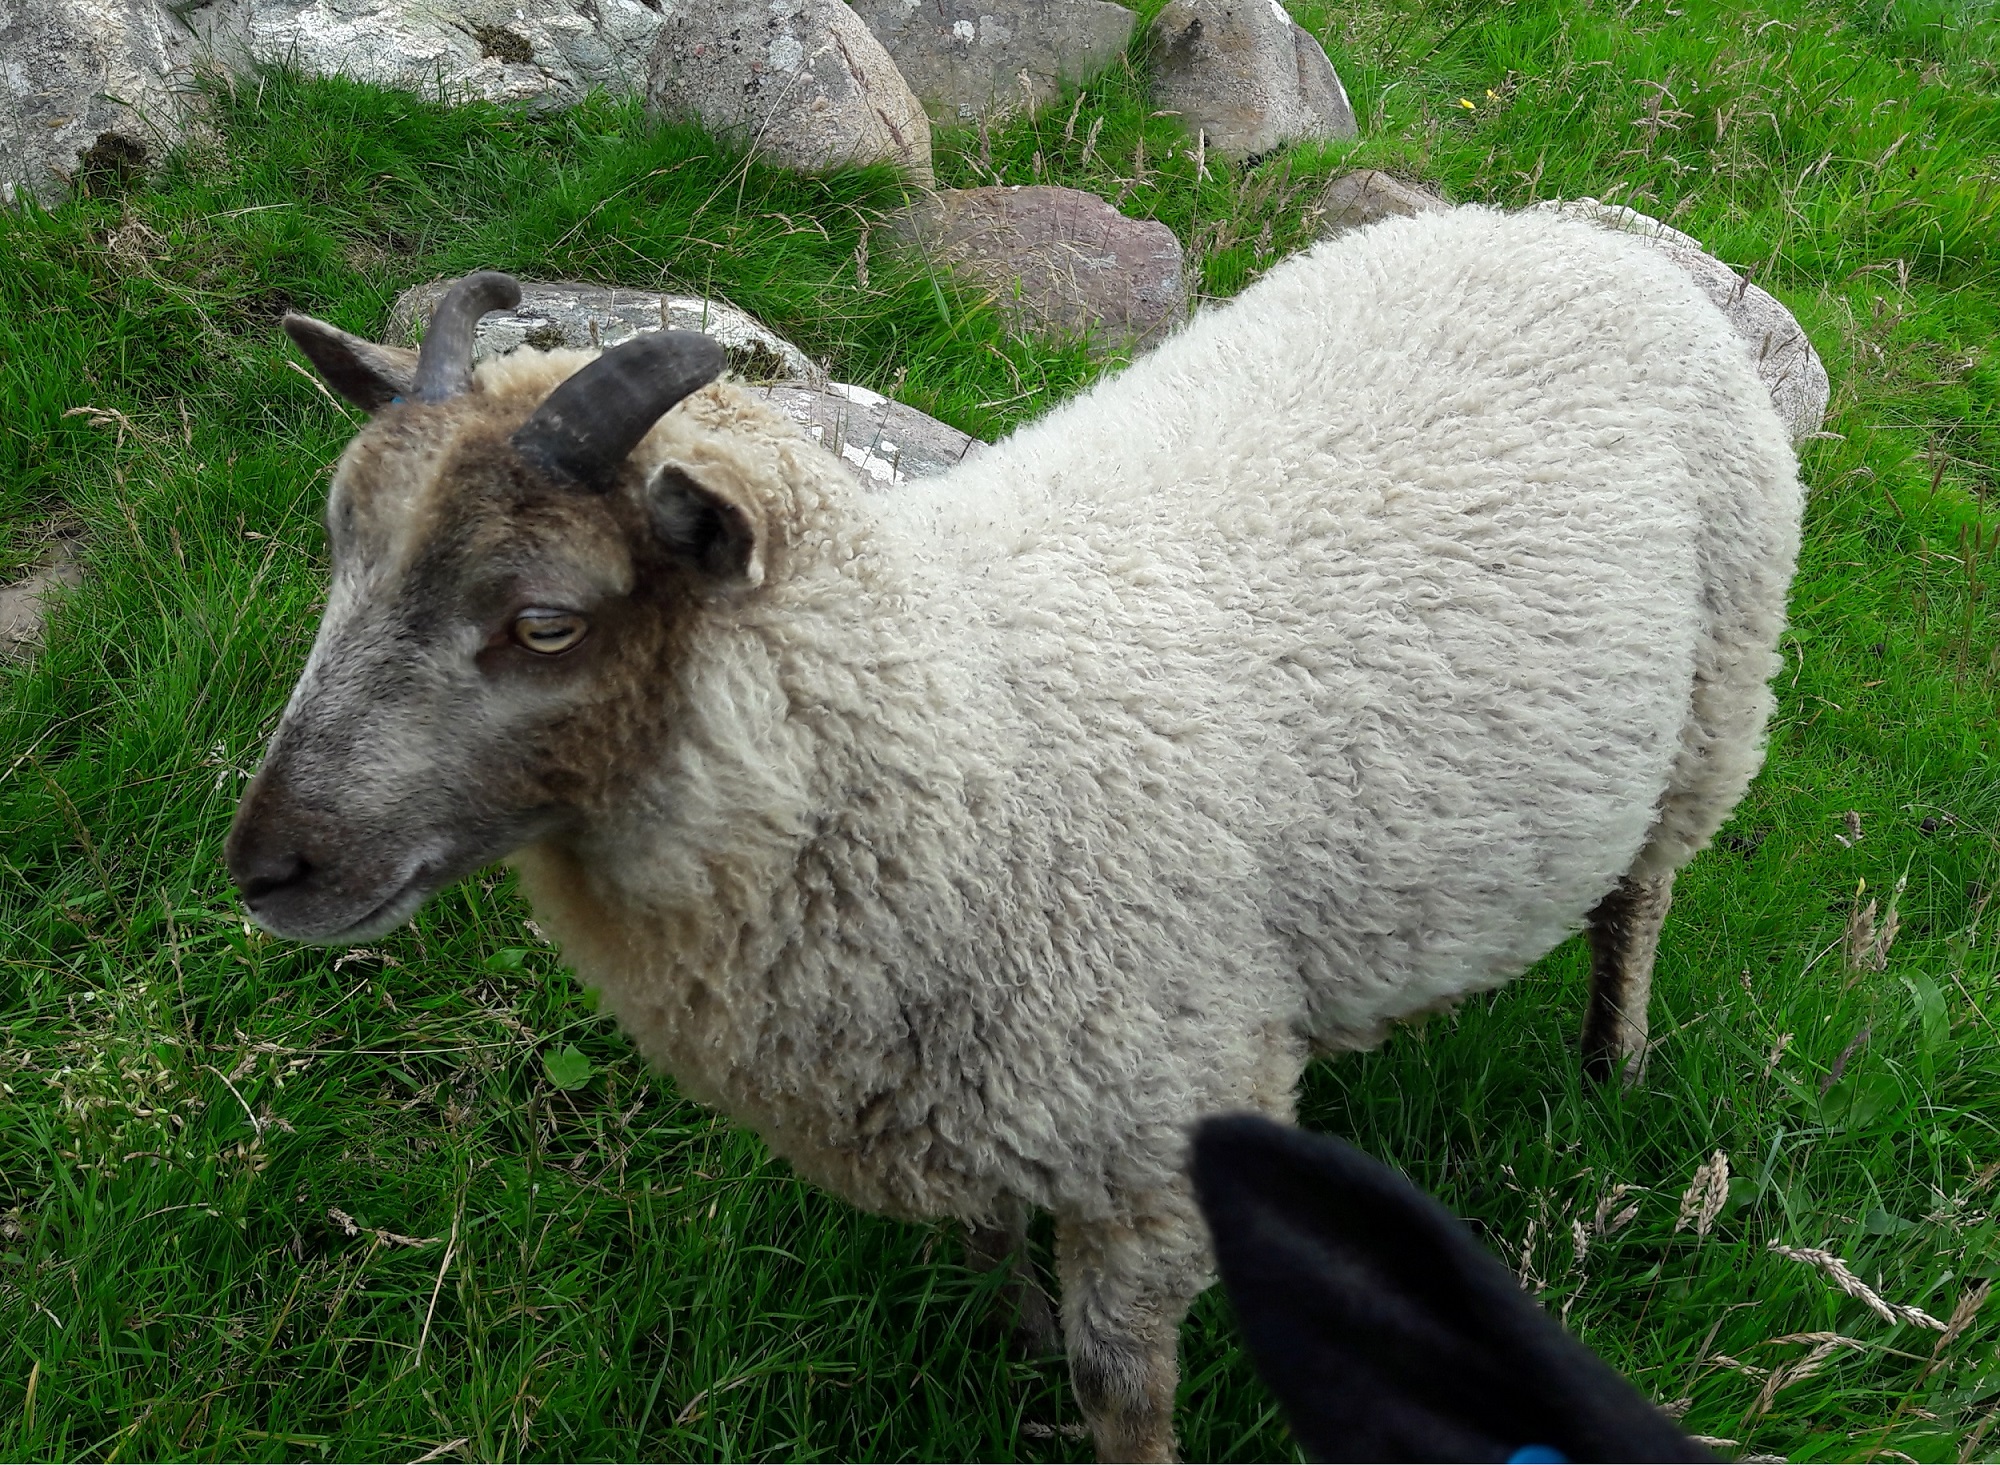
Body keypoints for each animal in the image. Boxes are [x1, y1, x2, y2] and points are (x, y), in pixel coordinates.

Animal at [227, 209, 1808, 1465]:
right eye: (340, 547)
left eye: (545, 620)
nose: (266, 865)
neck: (955, 725)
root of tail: (1582, 235)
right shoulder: (948, 1099)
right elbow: (992, 1253)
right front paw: (1014, 1348)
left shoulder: (1151, 1138)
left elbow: (1124, 1388)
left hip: (1716, 699)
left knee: (1638, 901)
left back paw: (1613, 1066)